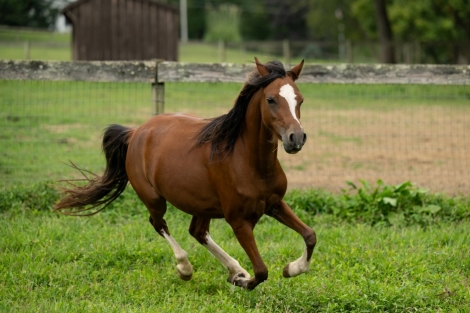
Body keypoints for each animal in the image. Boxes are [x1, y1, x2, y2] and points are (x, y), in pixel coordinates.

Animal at [57, 57, 318, 288]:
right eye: (271, 99)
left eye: (300, 100)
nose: (296, 138)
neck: (249, 161)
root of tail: (136, 132)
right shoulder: (239, 221)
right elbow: (262, 271)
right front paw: (245, 281)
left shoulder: (274, 204)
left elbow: (310, 235)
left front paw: (291, 268)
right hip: (153, 198)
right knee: (159, 224)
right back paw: (187, 269)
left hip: (202, 204)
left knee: (198, 232)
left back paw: (236, 270)